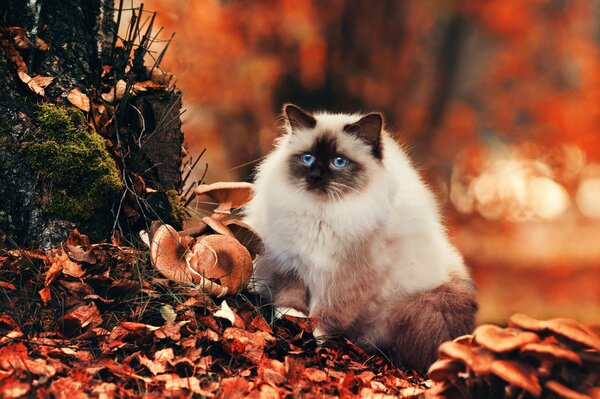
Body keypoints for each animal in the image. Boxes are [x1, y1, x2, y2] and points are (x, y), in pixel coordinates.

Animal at [241, 104, 476, 372]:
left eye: (339, 161)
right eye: (307, 158)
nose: (316, 176)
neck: (323, 215)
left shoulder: (346, 280)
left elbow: (325, 315)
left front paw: (313, 336)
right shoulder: (292, 263)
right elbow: (291, 298)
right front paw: (291, 321)